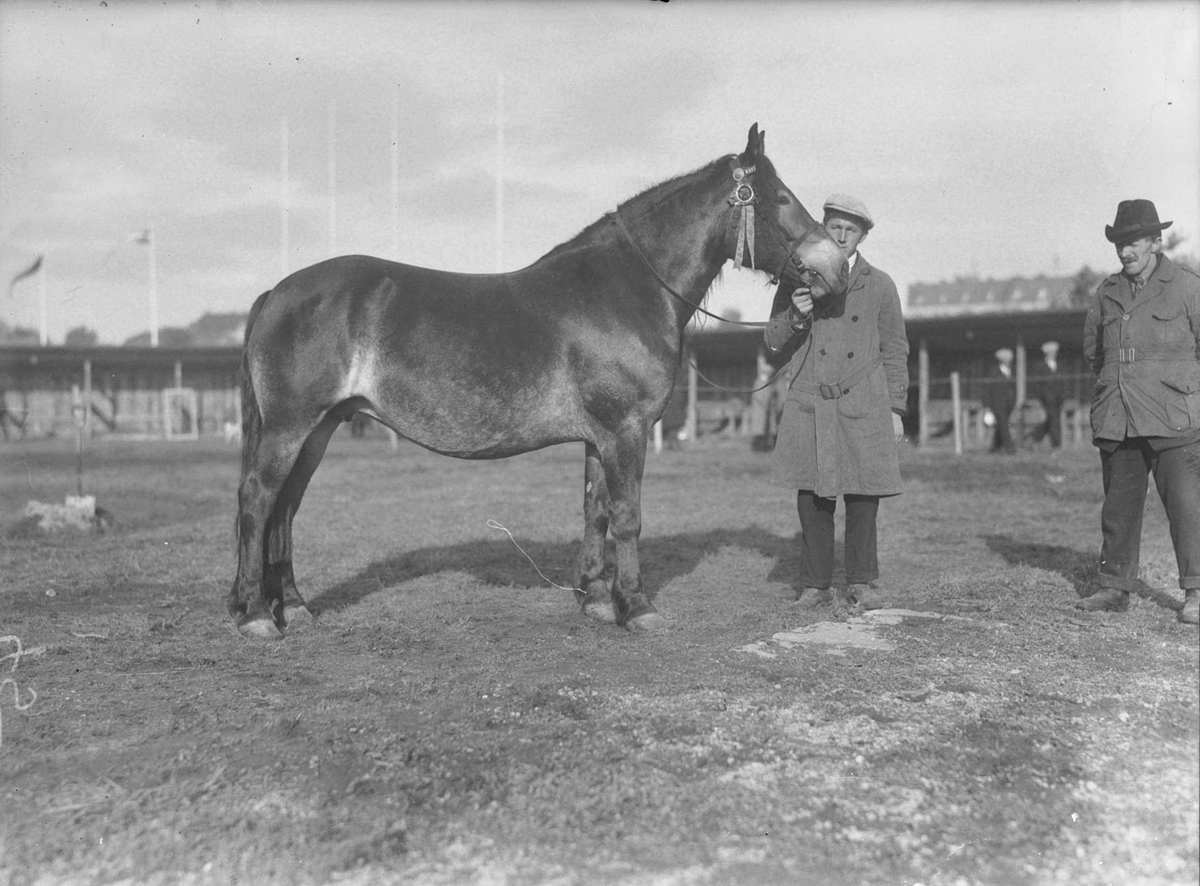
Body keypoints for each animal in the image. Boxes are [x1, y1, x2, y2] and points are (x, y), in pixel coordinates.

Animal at [231, 122, 844, 633]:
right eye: (782, 198)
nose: (836, 265)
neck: (628, 287)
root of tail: (277, 292)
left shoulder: (601, 436)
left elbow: (596, 510)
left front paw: (596, 600)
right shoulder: (626, 430)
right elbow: (627, 517)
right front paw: (638, 607)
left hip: (319, 429)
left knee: (285, 509)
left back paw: (295, 607)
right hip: (291, 427)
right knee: (259, 500)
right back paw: (259, 615)